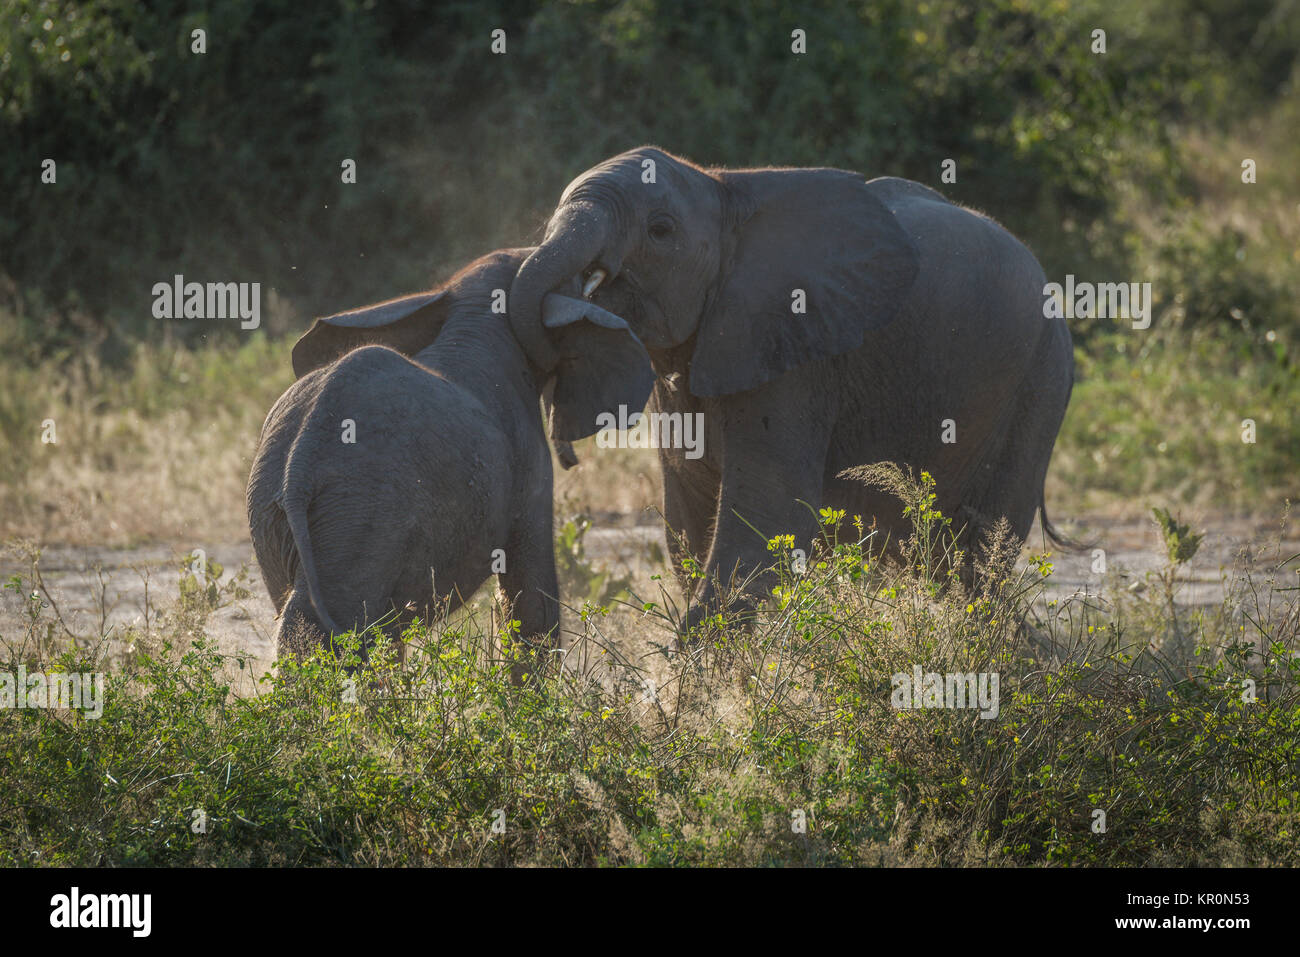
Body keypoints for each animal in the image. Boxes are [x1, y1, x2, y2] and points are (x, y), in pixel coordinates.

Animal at [244, 248, 655, 681]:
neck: (472, 316)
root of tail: (301, 457)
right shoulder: (528, 461)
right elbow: (530, 590)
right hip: (359, 511)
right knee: (334, 620)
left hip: (269, 505)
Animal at [509, 145, 1076, 631]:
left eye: (660, 230)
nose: (568, 455)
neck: (722, 186)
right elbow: (689, 524)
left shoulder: (797, 354)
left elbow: (768, 517)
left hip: (1040, 382)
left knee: (978, 563)